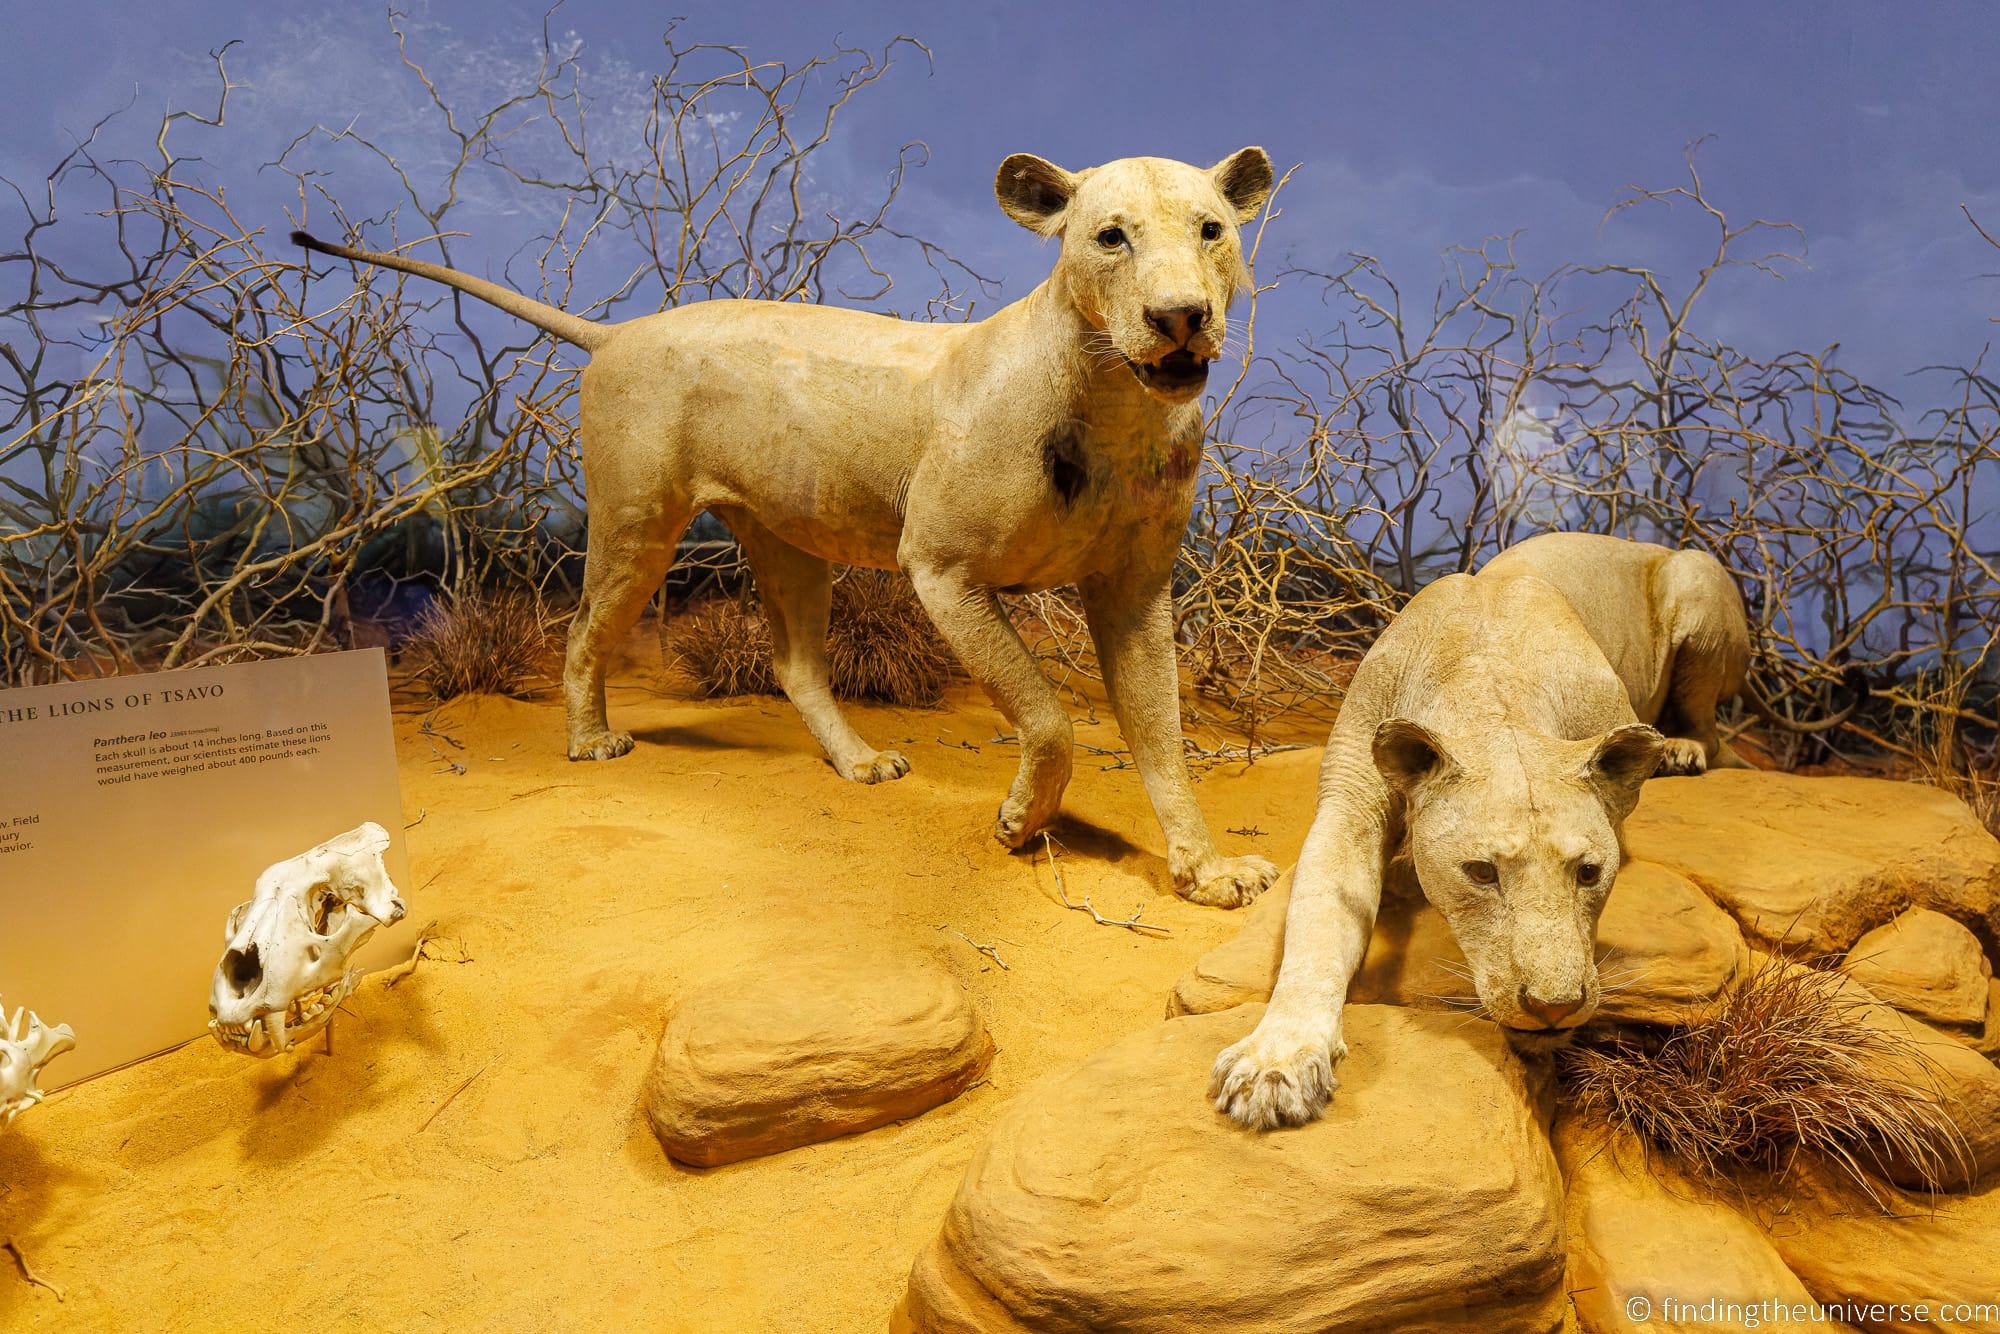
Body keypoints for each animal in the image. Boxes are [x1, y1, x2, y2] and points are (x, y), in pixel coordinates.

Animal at [304, 151, 1288, 912]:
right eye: (1111, 237)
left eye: (1210, 230)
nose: (1179, 317)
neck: (1121, 405)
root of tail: (620, 329)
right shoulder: (942, 569)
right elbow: (1048, 716)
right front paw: (1024, 821)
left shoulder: (1134, 590)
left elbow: (1160, 736)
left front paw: (1207, 873)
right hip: (638, 523)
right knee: (584, 631)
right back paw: (591, 741)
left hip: (788, 545)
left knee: (795, 665)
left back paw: (860, 763)